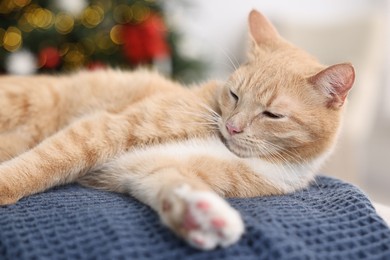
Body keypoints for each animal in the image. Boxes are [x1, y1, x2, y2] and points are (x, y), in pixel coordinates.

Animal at [0, 11, 354, 251]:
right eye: (234, 95)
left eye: (272, 114)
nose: (232, 126)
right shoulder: (108, 127)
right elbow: (45, 163)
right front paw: (6, 186)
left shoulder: (146, 169)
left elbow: (174, 184)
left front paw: (202, 216)